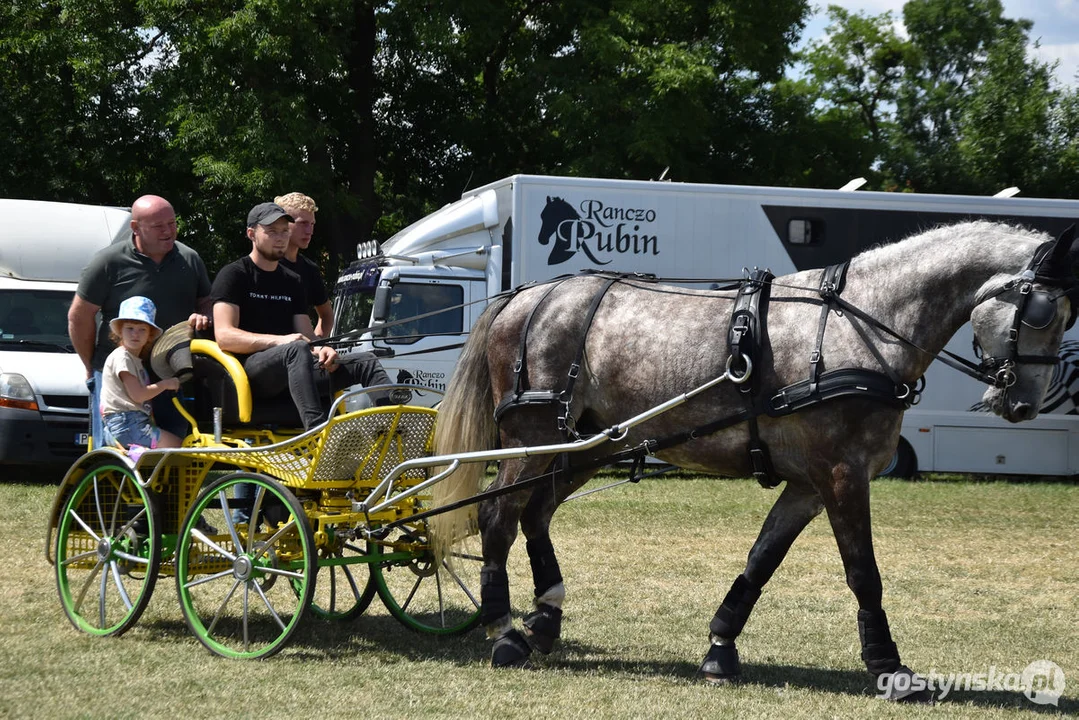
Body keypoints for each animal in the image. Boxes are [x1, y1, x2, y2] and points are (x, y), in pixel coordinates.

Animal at [427, 222, 1070, 699]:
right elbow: (863, 571)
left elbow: (762, 559)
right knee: (498, 519)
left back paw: (545, 617)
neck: (864, 325)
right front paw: (889, 666)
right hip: (531, 440)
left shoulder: (810, 483)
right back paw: (504, 632)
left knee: (535, 515)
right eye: (1043, 314)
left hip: (588, 443)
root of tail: (525, 296)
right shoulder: (843, 474)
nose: (1023, 403)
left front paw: (720, 647)